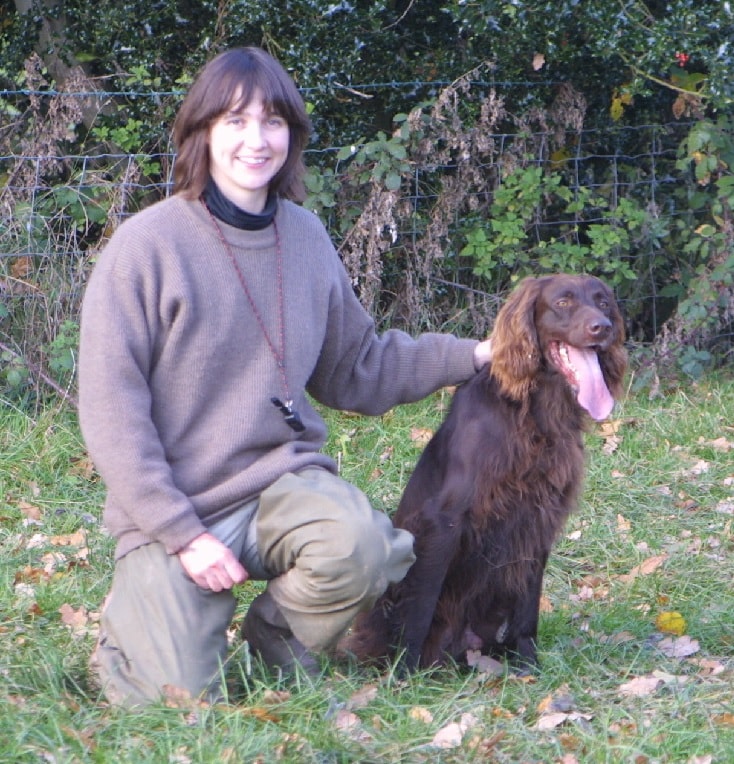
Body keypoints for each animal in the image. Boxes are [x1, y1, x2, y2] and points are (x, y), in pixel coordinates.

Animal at [344, 274, 628, 668]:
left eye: (603, 302)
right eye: (563, 302)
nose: (602, 327)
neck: (532, 413)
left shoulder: (538, 517)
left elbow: (527, 609)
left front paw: (528, 666)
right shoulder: (445, 520)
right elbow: (420, 606)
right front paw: (404, 672)